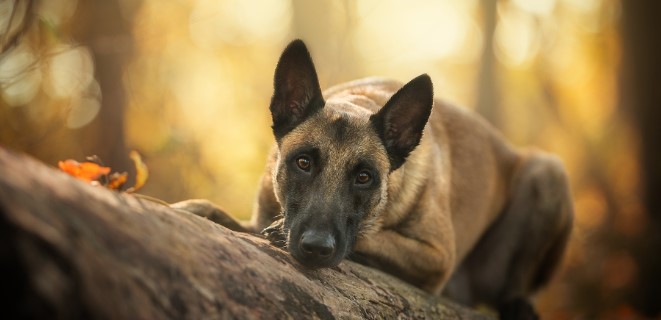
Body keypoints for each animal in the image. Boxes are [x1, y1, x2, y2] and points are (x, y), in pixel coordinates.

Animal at [171, 39, 572, 318]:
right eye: (303, 163)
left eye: (364, 177)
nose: (316, 248)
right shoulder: (257, 217)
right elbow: (226, 216)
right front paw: (195, 208)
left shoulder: (436, 256)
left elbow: (371, 236)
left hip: (548, 172)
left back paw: (518, 304)